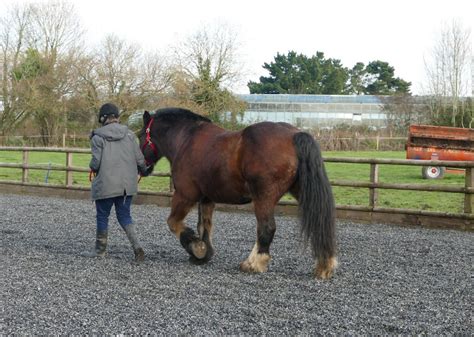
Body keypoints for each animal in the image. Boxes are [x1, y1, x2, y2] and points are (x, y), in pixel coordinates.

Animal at [137, 107, 336, 278]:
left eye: (140, 136)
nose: (141, 168)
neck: (186, 139)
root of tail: (294, 135)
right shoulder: (207, 198)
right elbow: (204, 226)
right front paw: (203, 254)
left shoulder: (185, 195)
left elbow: (174, 223)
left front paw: (196, 248)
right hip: (301, 193)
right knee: (319, 222)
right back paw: (324, 265)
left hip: (263, 197)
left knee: (267, 227)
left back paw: (253, 263)